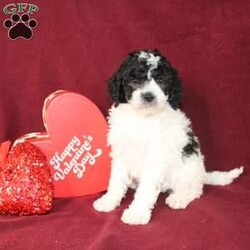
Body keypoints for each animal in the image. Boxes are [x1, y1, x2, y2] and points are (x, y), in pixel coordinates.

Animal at [93, 48, 243, 225]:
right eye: (134, 80)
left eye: (160, 80)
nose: (148, 96)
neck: (143, 118)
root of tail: (202, 174)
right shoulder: (122, 152)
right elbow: (116, 180)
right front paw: (108, 200)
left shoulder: (155, 158)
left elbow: (146, 188)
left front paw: (137, 213)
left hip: (187, 168)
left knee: (196, 189)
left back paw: (179, 198)